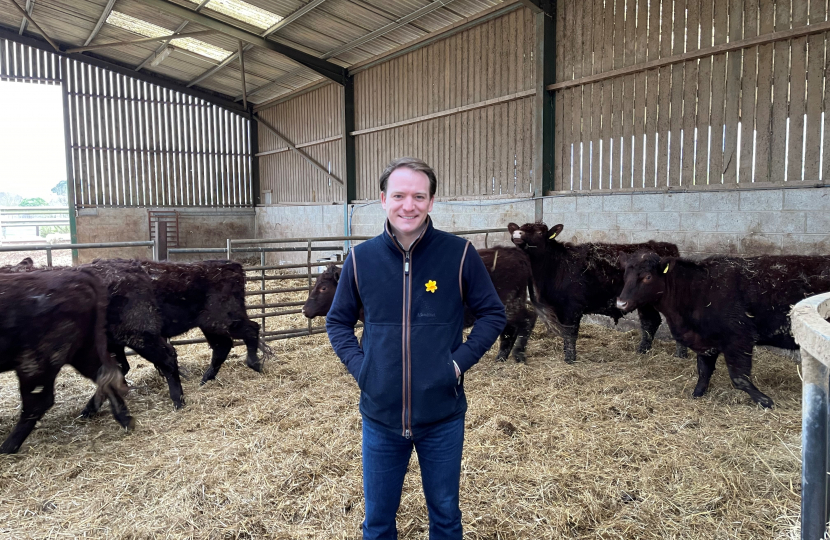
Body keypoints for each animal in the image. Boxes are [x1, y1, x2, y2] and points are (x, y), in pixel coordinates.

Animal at [0, 268, 132, 452]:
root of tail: (79, 276)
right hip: (83, 352)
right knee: (108, 376)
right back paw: (123, 419)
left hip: (37, 362)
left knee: (38, 402)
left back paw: (7, 447)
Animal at [508, 221, 688, 364]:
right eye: (521, 228)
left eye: (539, 232)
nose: (517, 233)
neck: (555, 265)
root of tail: (667, 246)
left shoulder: (573, 307)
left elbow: (570, 333)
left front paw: (570, 359)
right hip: (645, 303)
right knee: (650, 322)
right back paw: (642, 351)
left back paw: (681, 355)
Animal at [616, 251, 830, 408]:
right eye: (625, 275)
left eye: (647, 277)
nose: (621, 303)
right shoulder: (705, 342)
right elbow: (703, 372)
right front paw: (697, 394)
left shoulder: (739, 338)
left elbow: (739, 378)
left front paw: (765, 401)